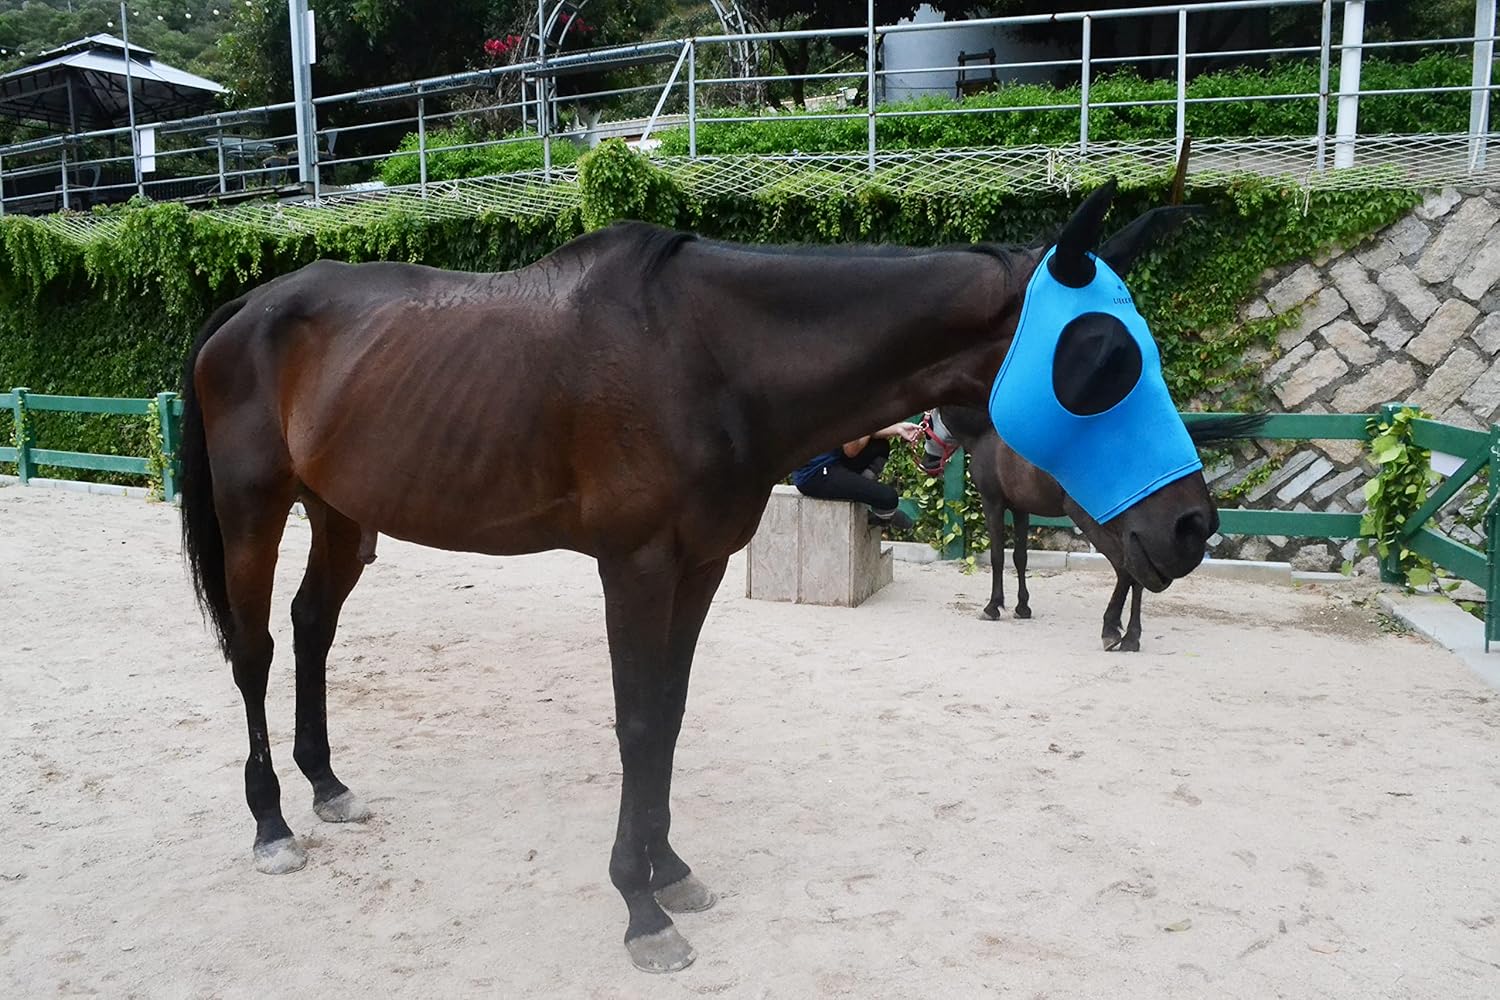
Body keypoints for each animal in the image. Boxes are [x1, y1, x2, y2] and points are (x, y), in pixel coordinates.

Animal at [177, 178, 1214, 973]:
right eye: (1103, 358)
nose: (1192, 526)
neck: (708, 357)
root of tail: (249, 309)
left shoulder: (704, 563)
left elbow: (669, 717)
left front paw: (668, 869)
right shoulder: (634, 566)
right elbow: (637, 722)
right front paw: (640, 910)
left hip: (342, 516)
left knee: (312, 627)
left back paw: (326, 782)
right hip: (254, 511)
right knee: (256, 649)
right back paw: (272, 824)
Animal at [921, 405, 1264, 650]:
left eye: (926, 427)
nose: (926, 462)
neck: (988, 434)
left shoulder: (993, 502)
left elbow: (997, 557)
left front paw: (993, 606)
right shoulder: (1020, 509)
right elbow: (1020, 558)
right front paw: (1022, 606)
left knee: (1125, 569)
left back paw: (1112, 631)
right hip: (1137, 534)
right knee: (1138, 573)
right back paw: (1131, 637)